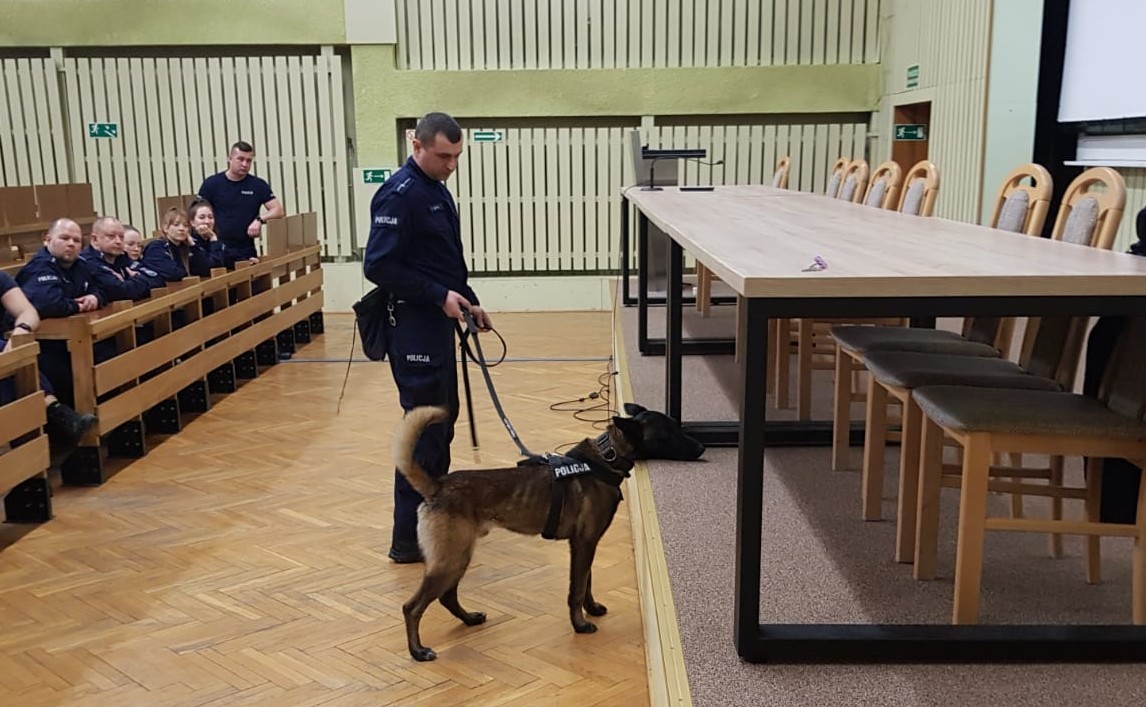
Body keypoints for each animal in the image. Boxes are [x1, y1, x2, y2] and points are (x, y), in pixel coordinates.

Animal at [394, 402, 705, 661]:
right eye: (670, 434)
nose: (702, 447)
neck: (605, 458)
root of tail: (437, 486)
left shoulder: (585, 545)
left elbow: (587, 581)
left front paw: (592, 608)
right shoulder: (584, 543)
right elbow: (576, 589)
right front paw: (580, 624)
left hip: (457, 557)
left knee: (447, 597)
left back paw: (469, 619)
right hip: (449, 560)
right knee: (412, 607)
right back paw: (417, 651)